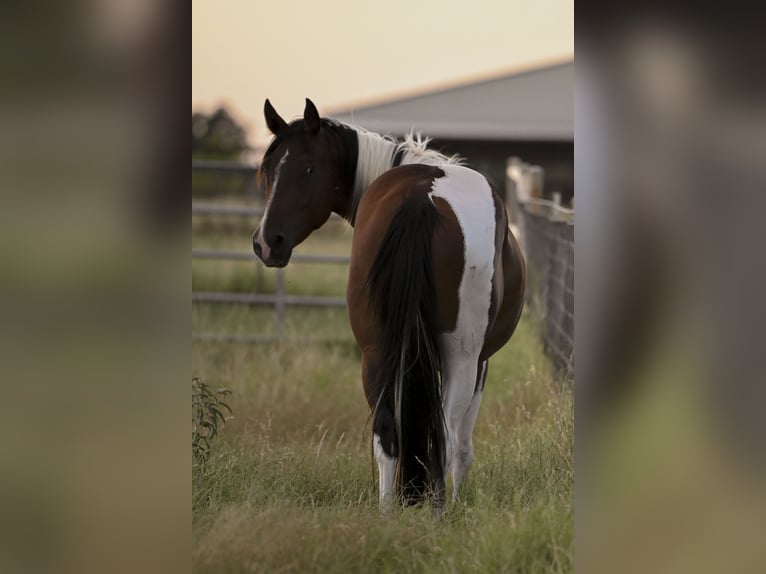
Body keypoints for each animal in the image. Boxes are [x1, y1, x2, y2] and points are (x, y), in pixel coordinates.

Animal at [253, 98, 526, 511]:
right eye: (268, 170)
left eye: (308, 169)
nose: (268, 242)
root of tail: (422, 197)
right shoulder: (480, 363)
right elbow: (462, 448)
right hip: (459, 359)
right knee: (444, 441)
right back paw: (437, 513)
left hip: (375, 353)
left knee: (388, 438)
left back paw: (387, 515)